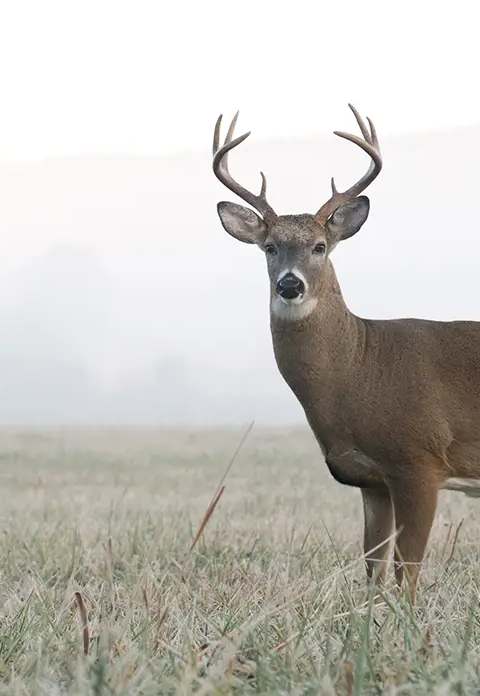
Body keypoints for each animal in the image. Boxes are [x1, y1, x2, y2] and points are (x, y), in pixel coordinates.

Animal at [212, 104, 480, 602]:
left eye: (320, 246)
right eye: (270, 248)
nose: (290, 284)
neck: (360, 369)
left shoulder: (420, 461)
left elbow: (407, 572)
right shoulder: (371, 480)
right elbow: (373, 568)